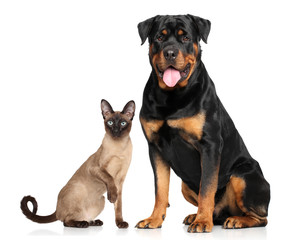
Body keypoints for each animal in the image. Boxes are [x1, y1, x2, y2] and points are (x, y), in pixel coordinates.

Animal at [21, 99, 136, 229]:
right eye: (110, 122)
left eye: (122, 123)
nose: (116, 131)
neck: (119, 148)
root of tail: (57, 209)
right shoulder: (97, 169)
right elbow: (109, 178)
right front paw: (112, 197)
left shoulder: (120, 182)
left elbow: (118, 206)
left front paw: (120, 223)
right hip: (78, 189)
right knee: (65, 221)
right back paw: (81, 224)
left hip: (101, 200)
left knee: (82, 216)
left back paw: (94, 222)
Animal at [136, 14, 272, 232]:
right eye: (159, 37)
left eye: (185, 38)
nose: (170, 52)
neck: (172, 96)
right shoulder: (155, 148)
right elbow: (160, 189)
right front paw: (154, 219)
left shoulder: (210, 145)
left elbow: (207, 187)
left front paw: (202, 222)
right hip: (185, 185)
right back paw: (199, 216)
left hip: (242, 175)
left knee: (260, 217)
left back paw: (235, 220)